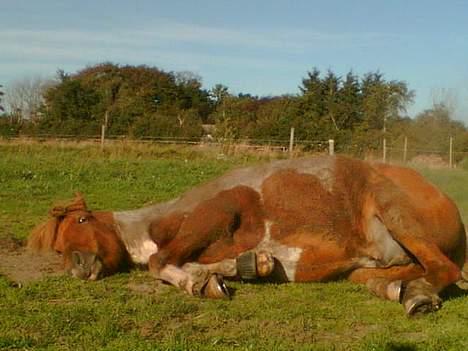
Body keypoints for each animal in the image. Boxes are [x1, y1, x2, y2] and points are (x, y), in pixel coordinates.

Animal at [27, 157, 466, 316]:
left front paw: (199, 282)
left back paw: (420, 294)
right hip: (369, 264)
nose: (78, 267)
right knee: (393, 275)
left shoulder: (219, 211)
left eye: (81, 221)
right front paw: (240, 268)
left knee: (443, 269)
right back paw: (400, 290)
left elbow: (158, 261)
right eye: (58, 246)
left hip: (396, 212)